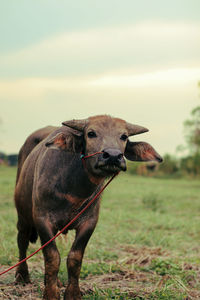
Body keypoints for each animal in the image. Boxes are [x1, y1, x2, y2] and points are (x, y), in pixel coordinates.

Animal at [15, 115, 162, 300]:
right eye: (91, 133)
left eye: (124, 136)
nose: (113, 156)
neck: (73, 189)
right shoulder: (42, 219)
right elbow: (52, 257)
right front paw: (50, 294)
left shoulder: (89, 222)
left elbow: (75, 258)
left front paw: (72, 293)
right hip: (22, 214)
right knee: (22, 240)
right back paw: (21, 276)